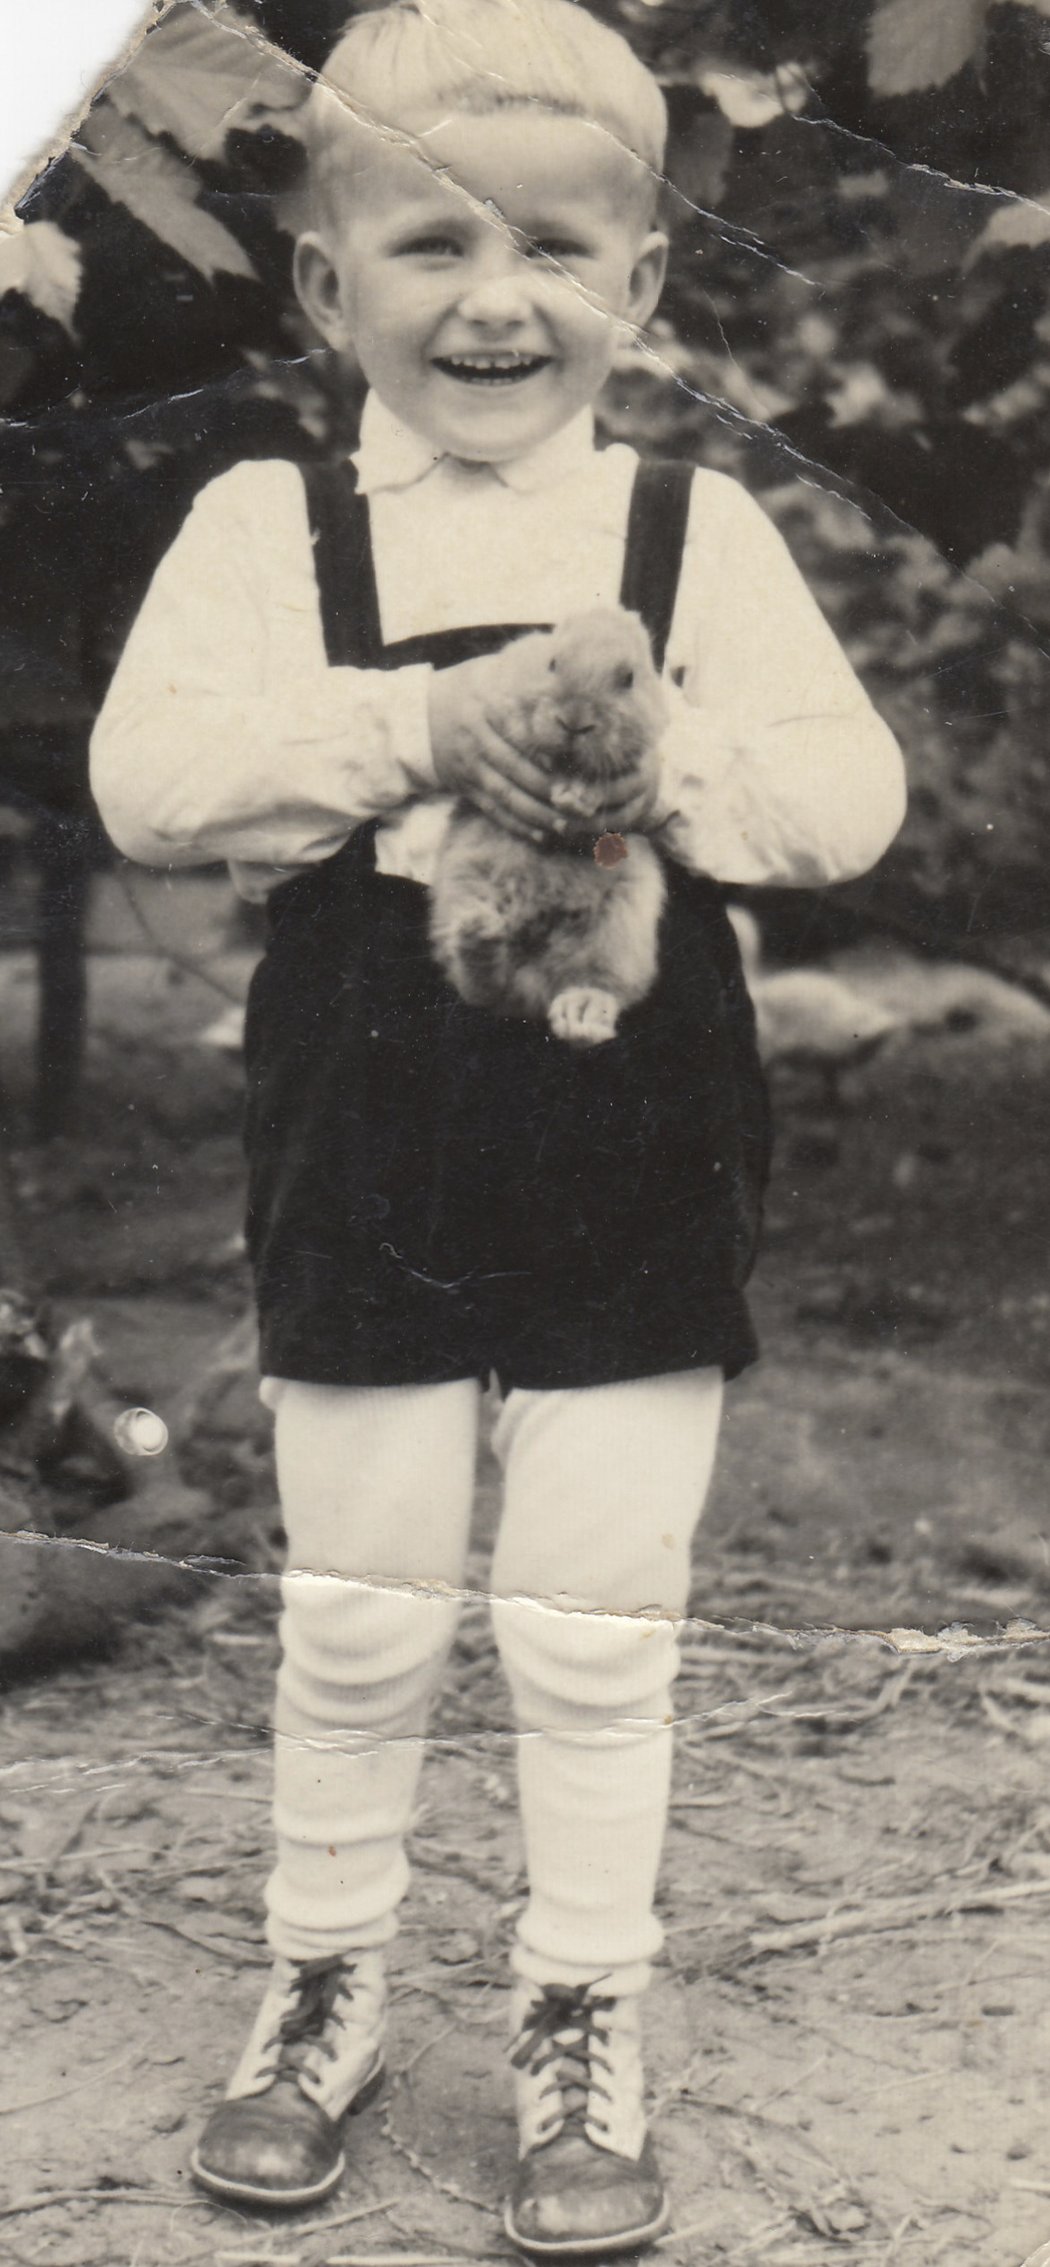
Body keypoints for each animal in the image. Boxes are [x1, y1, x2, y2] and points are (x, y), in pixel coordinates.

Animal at [428, 603, 671, 1042]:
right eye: (553, 662)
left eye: (628, 678)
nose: (574, 721)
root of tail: (529, 995)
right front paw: (559, 785)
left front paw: (577, 795)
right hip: (461, 884)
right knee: (479, 986)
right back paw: (479, 936)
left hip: (623, 924)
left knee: (596, 980)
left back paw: (581, 1016)